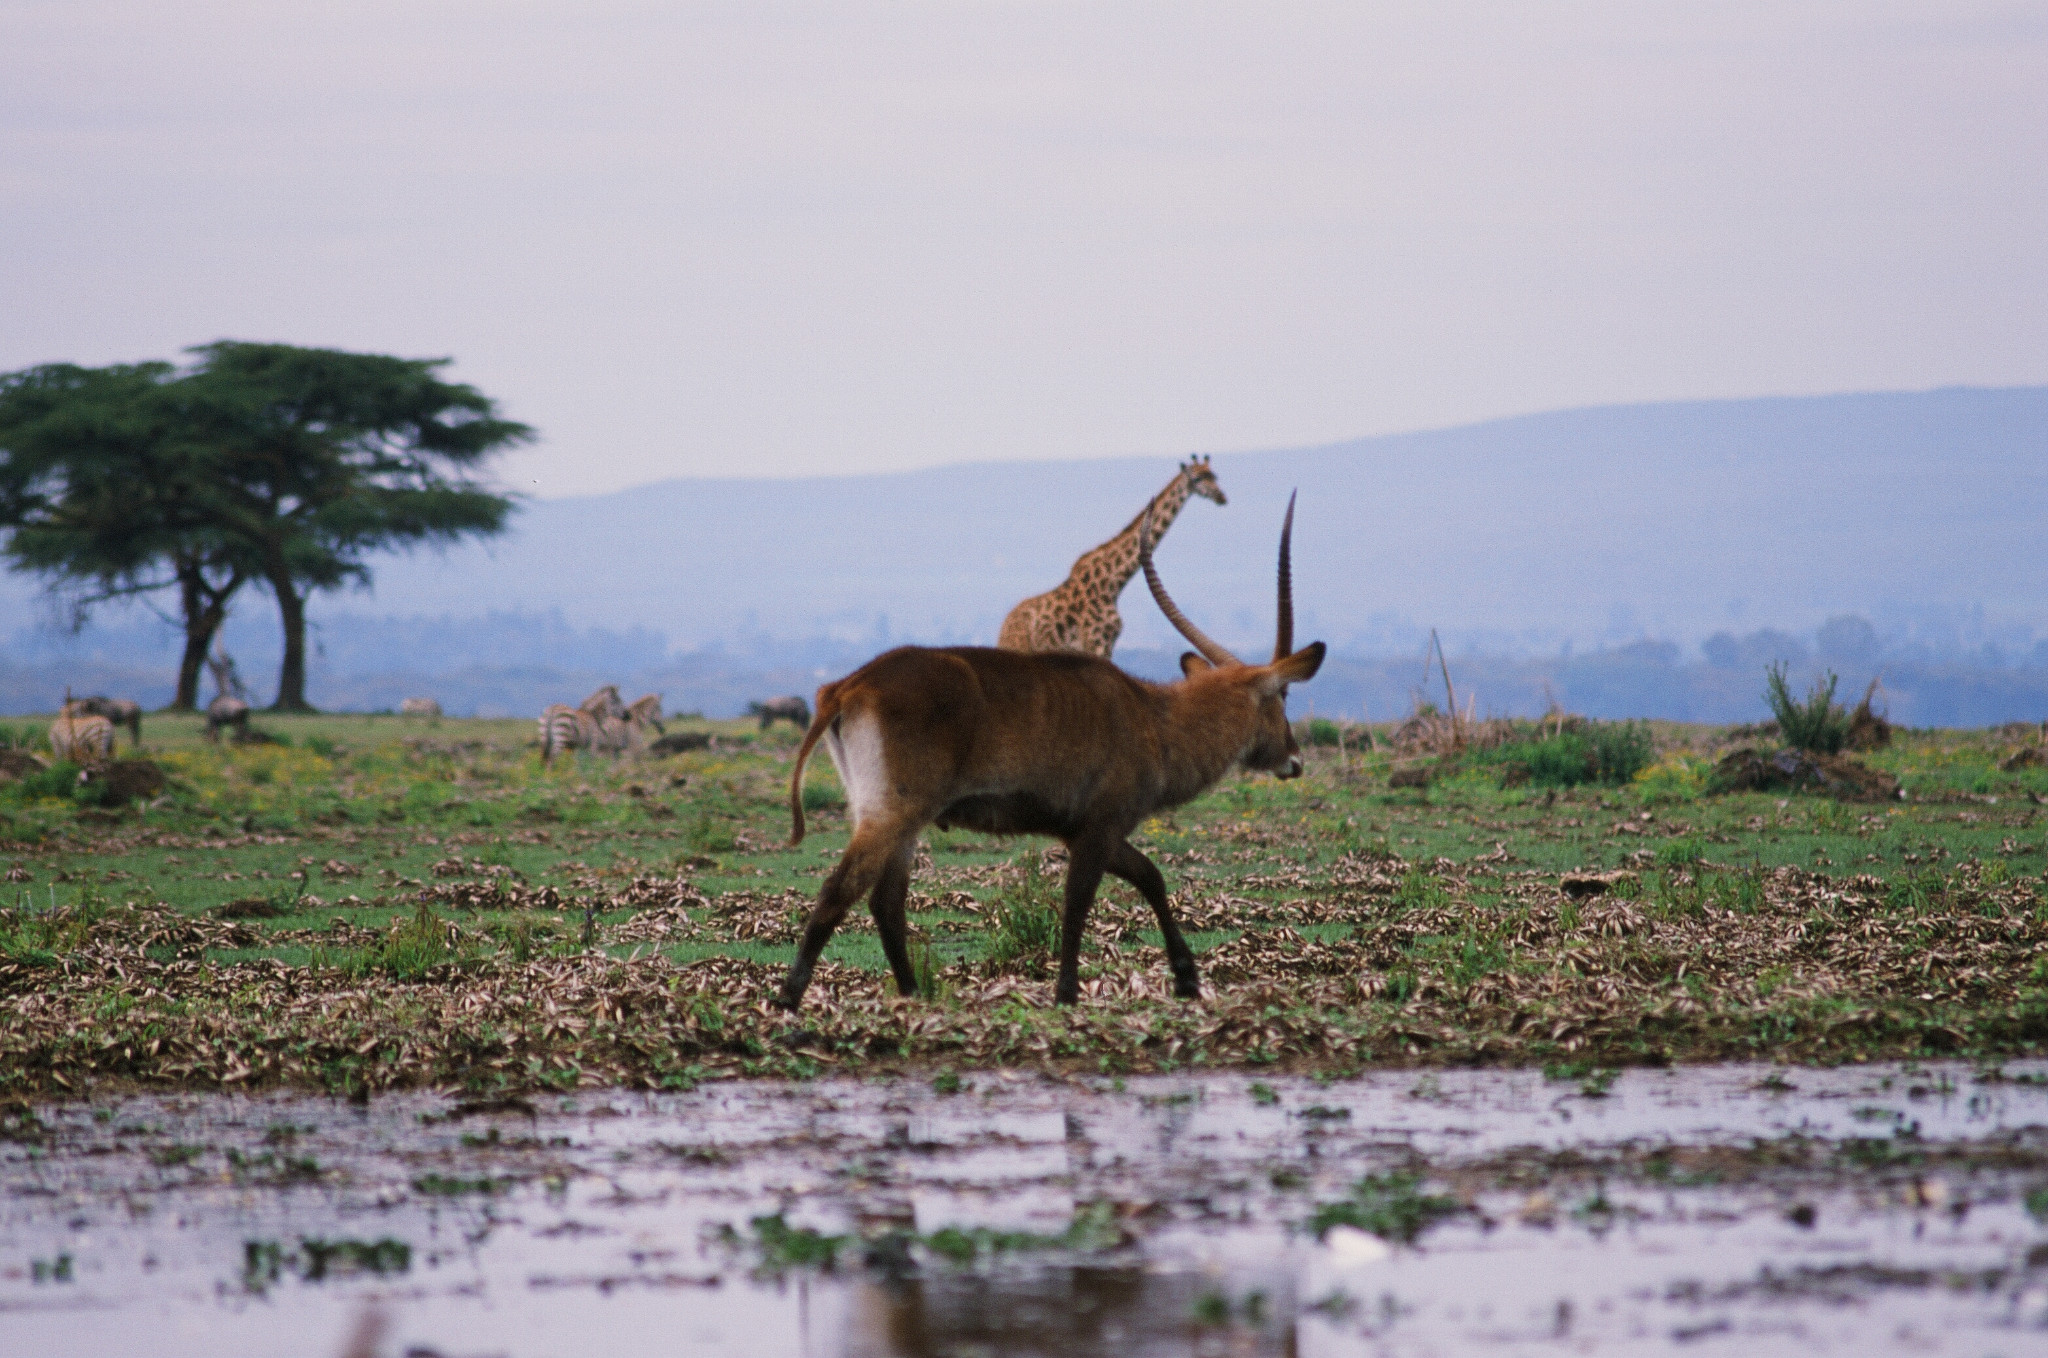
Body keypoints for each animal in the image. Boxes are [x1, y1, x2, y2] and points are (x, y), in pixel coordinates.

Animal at [999, 456, 1220, 659]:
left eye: (1214, 475)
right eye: (1198, 478)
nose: (1221, 496)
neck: (1113, 583)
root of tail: (1005, 627)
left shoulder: (1106, 646)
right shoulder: (1095, 643)